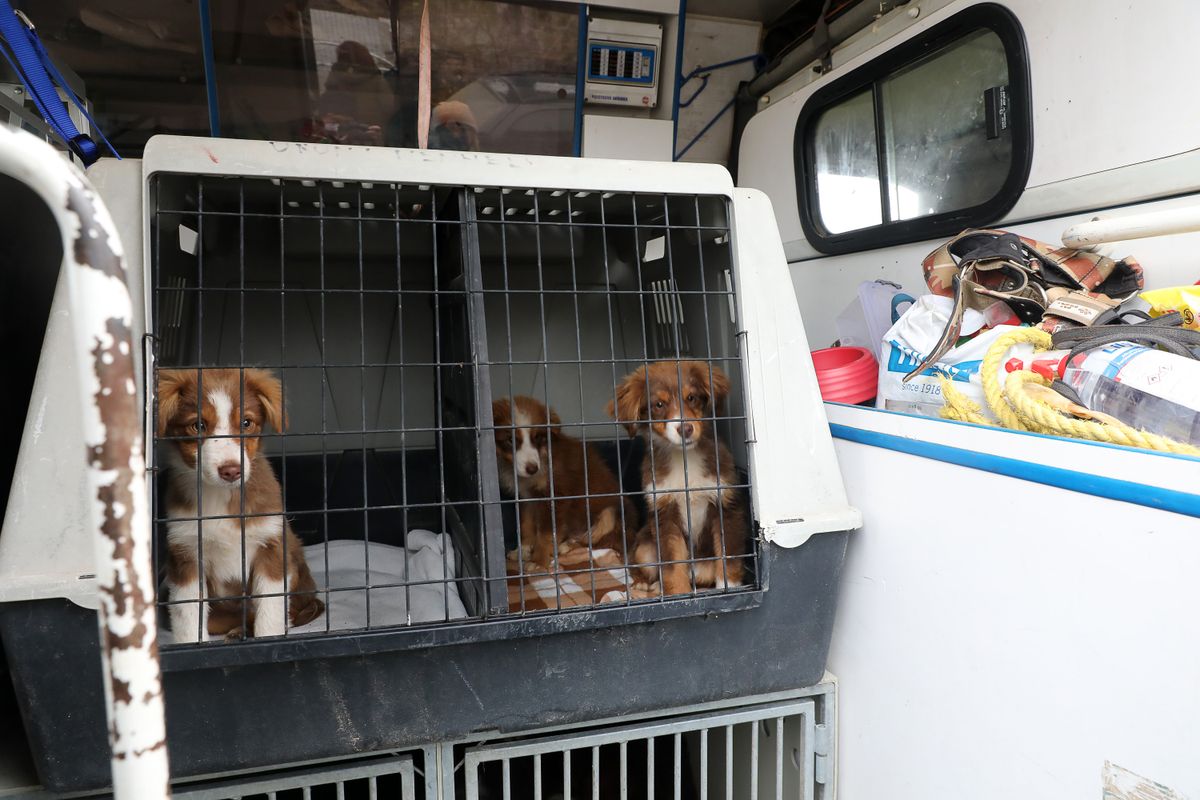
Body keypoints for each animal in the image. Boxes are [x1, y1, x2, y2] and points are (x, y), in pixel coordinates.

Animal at [156, 367, 324, 642]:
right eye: (198, 425)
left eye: (246, 423)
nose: (231, 471)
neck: (221, 496)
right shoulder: (186, 554)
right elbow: (188, 617)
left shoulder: (271, 548)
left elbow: (270, 612)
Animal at [492, 393, 638, 568]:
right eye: (511, 440)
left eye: (538, 437)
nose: (532, 469)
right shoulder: (526, 498)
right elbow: (526, 526)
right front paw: (523, 551)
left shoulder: (556, 496)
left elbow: (546, 534)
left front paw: (538, 562)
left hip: (611, 514)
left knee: (599, 543)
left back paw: (566, 547)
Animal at [614, 362, 744, 594]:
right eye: (658, 404)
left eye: (691, 397)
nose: (685, 428)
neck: (684, 457)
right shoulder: (665, 514)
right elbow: (673, 565)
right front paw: (678, 594)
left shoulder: (725, 504)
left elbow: (727, 555)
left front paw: (728, 588)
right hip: (646, 547)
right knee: (641, 566)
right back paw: (644, 585)